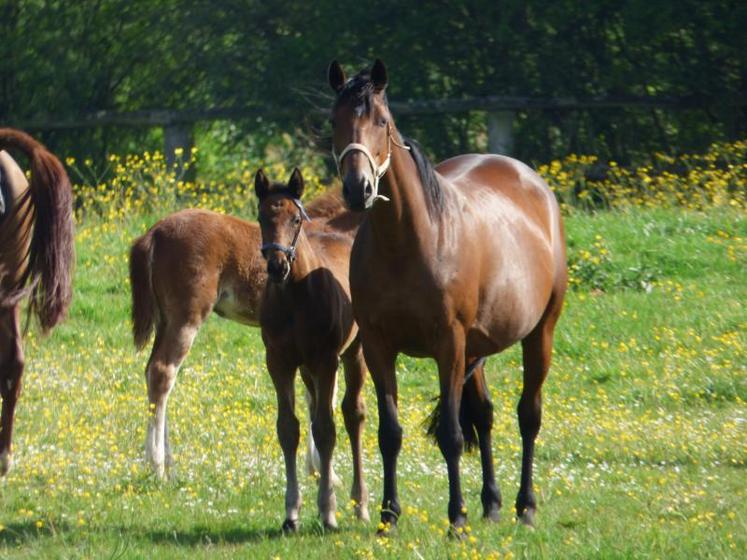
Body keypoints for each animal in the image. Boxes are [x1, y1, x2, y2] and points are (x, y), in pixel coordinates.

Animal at [131, 182, 366, 484]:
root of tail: (154, 233)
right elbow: (325, 398)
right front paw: (327, 473)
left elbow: (312, 396)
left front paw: (316, 469)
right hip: (185, 319)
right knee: (163, 372)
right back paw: (158, 466)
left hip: (166, 321)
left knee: (153, 372)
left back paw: (168, 463)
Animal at [258, 168, 372, 532]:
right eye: (261, 217)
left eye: (296, 219)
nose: (277, 266)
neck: (295, 297)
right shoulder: (278, 362)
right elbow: (288, 428)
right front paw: (291, 513)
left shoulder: (326, 361)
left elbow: (326, 429)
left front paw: (327, 511)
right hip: (307, 368)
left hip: (353, 353)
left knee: (352, 414)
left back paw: (360, 505)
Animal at [328, 62, 568, 532]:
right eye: (335, 121)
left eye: (381, 122)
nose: (357, 189)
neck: (408, 242)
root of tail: (533, 183)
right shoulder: (379, 347)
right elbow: (390, 433)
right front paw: (388, 516)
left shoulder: (448, 345)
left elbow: (452, 435)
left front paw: (456, 518)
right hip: (476, 350)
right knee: (487, 415)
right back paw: (491, 503)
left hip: (539, 334)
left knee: (528, 415)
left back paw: (525, 506)